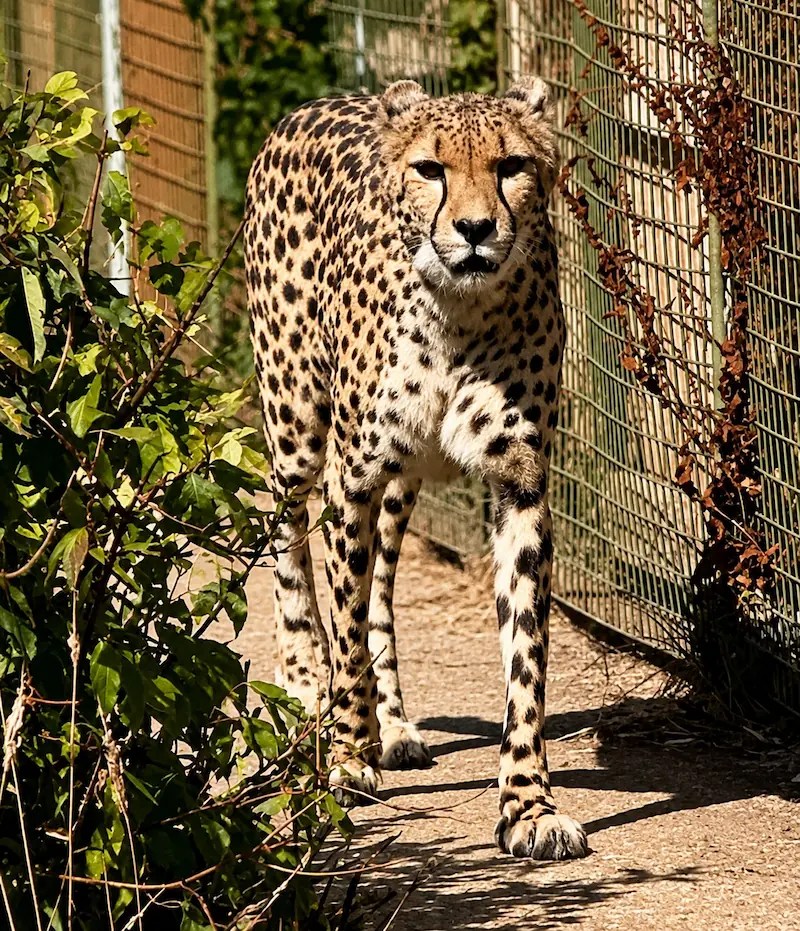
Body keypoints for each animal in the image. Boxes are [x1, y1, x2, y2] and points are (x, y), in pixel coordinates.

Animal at [244, 76, 588, 861]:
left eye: (512, 165)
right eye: (431, 169)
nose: (474, 229)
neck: (459, 310)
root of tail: (318, 102)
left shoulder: (518, 479)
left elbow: (525, 656)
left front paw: (527, 804)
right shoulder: (354, 474)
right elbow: (343, 620)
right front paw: (346, 757)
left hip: (402, 480)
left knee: (380, 585)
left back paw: (394, 724)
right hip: (298, 428)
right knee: (288, 537)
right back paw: (305, 683)